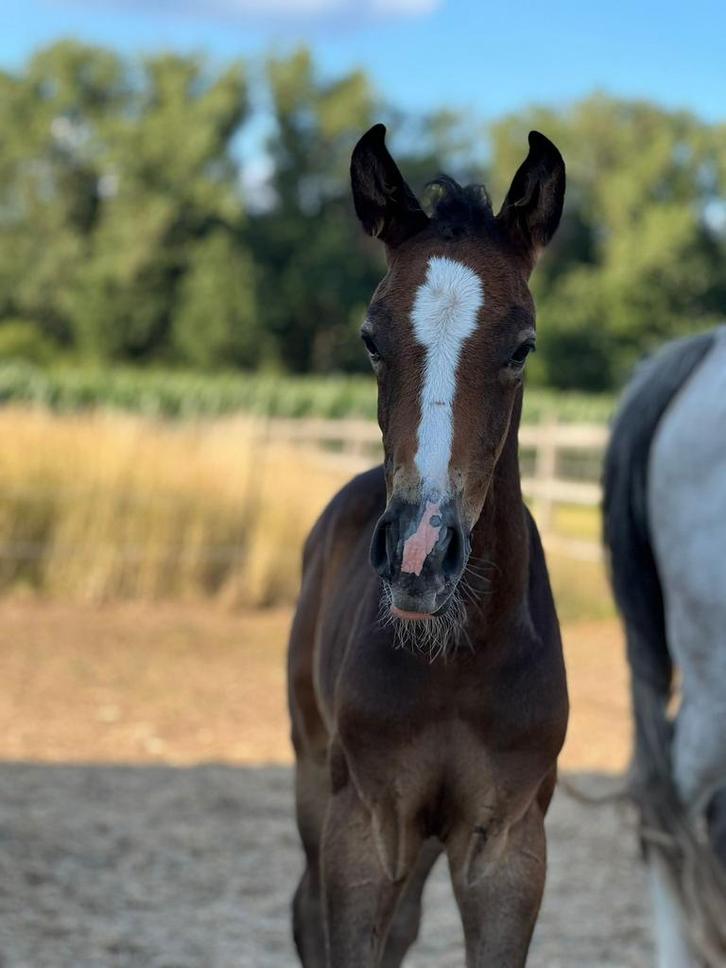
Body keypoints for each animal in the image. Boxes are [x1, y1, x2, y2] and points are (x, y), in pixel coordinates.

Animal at [287, 123, 569, 968]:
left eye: (522, 346)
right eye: (370, 338)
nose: (420, 552)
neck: (461, 660)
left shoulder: (510, 845)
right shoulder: (365, 825)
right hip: (311, 765)